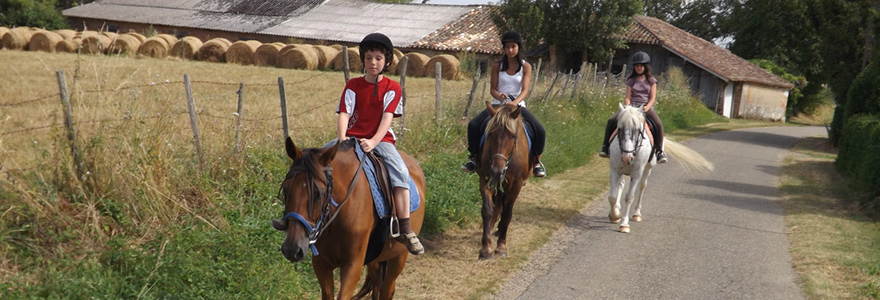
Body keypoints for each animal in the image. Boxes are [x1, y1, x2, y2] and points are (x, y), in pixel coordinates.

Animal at [274, 137, 428, 298]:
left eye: (319, 193)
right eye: (286, 190)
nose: (292, 248)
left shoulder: (352, 266)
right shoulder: (321, 264)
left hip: (399, 256)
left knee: (387, 289)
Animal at [474, 101, 536, 260]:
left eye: (512, 136)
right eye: (490, 134)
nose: (498, 171)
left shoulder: (517, 184)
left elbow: (507, 213)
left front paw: (501, 247)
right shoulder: (486, 178)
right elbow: (487, 210)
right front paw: (486, 248)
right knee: (497, 206)